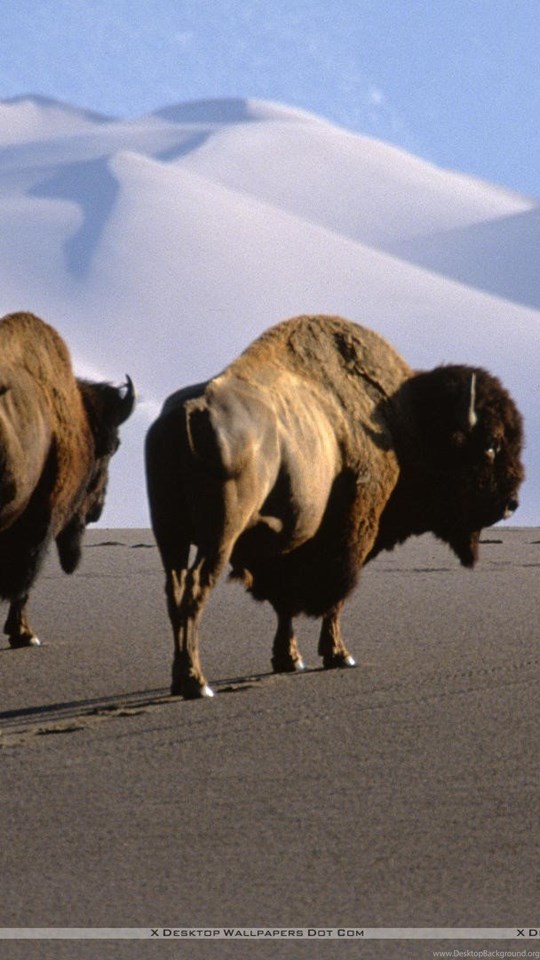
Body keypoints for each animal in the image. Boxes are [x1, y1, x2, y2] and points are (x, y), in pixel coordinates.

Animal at [145, 314, 524, 699]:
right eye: (491, 445)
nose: (511, 503)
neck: (401, 420)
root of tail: (188, 412)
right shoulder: (351, 535)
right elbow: (335, 597)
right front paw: (339, 655)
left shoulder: (288, 545)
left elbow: (285, 603)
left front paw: (289, 659)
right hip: (219, 535)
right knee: (196, 588)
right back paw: (197, 683)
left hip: (169, 534)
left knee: (175, 589)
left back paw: (181, 678)